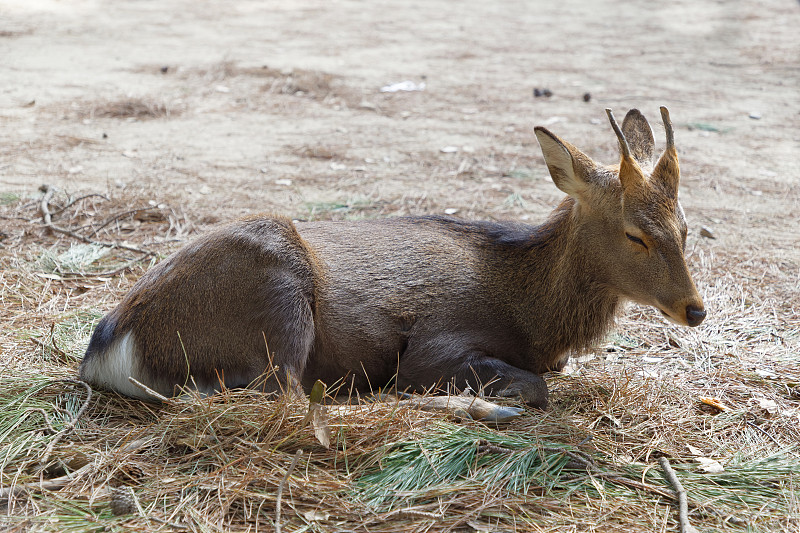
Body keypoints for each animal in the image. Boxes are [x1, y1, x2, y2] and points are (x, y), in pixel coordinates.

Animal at [79, 107, 708, 416]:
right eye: (635, 235)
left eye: (685, 226)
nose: (695, 310)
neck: (531, 316)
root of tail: (108, 347)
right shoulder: (438, 341)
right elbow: (535, 386)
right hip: (274, 291)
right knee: (280, 398)